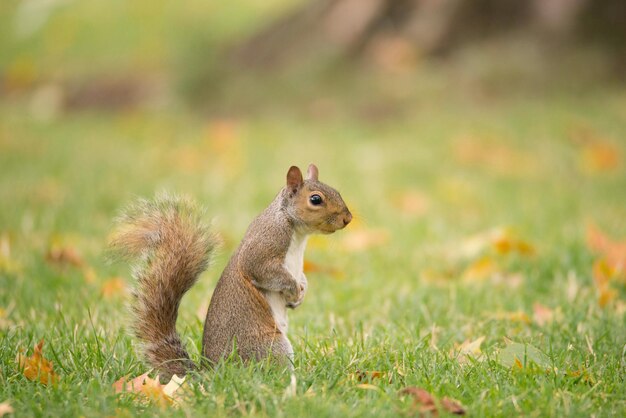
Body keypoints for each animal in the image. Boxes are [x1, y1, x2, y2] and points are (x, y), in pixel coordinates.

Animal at [108, 165, 352, 380]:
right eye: (316, 199)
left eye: (338, 191)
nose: (347, 219)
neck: (297, 232)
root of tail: (212, 373)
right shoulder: (263, 249)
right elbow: (267, 272)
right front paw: (293, 291)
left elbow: (301, 277)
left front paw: (300, 295)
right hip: (270, 347)